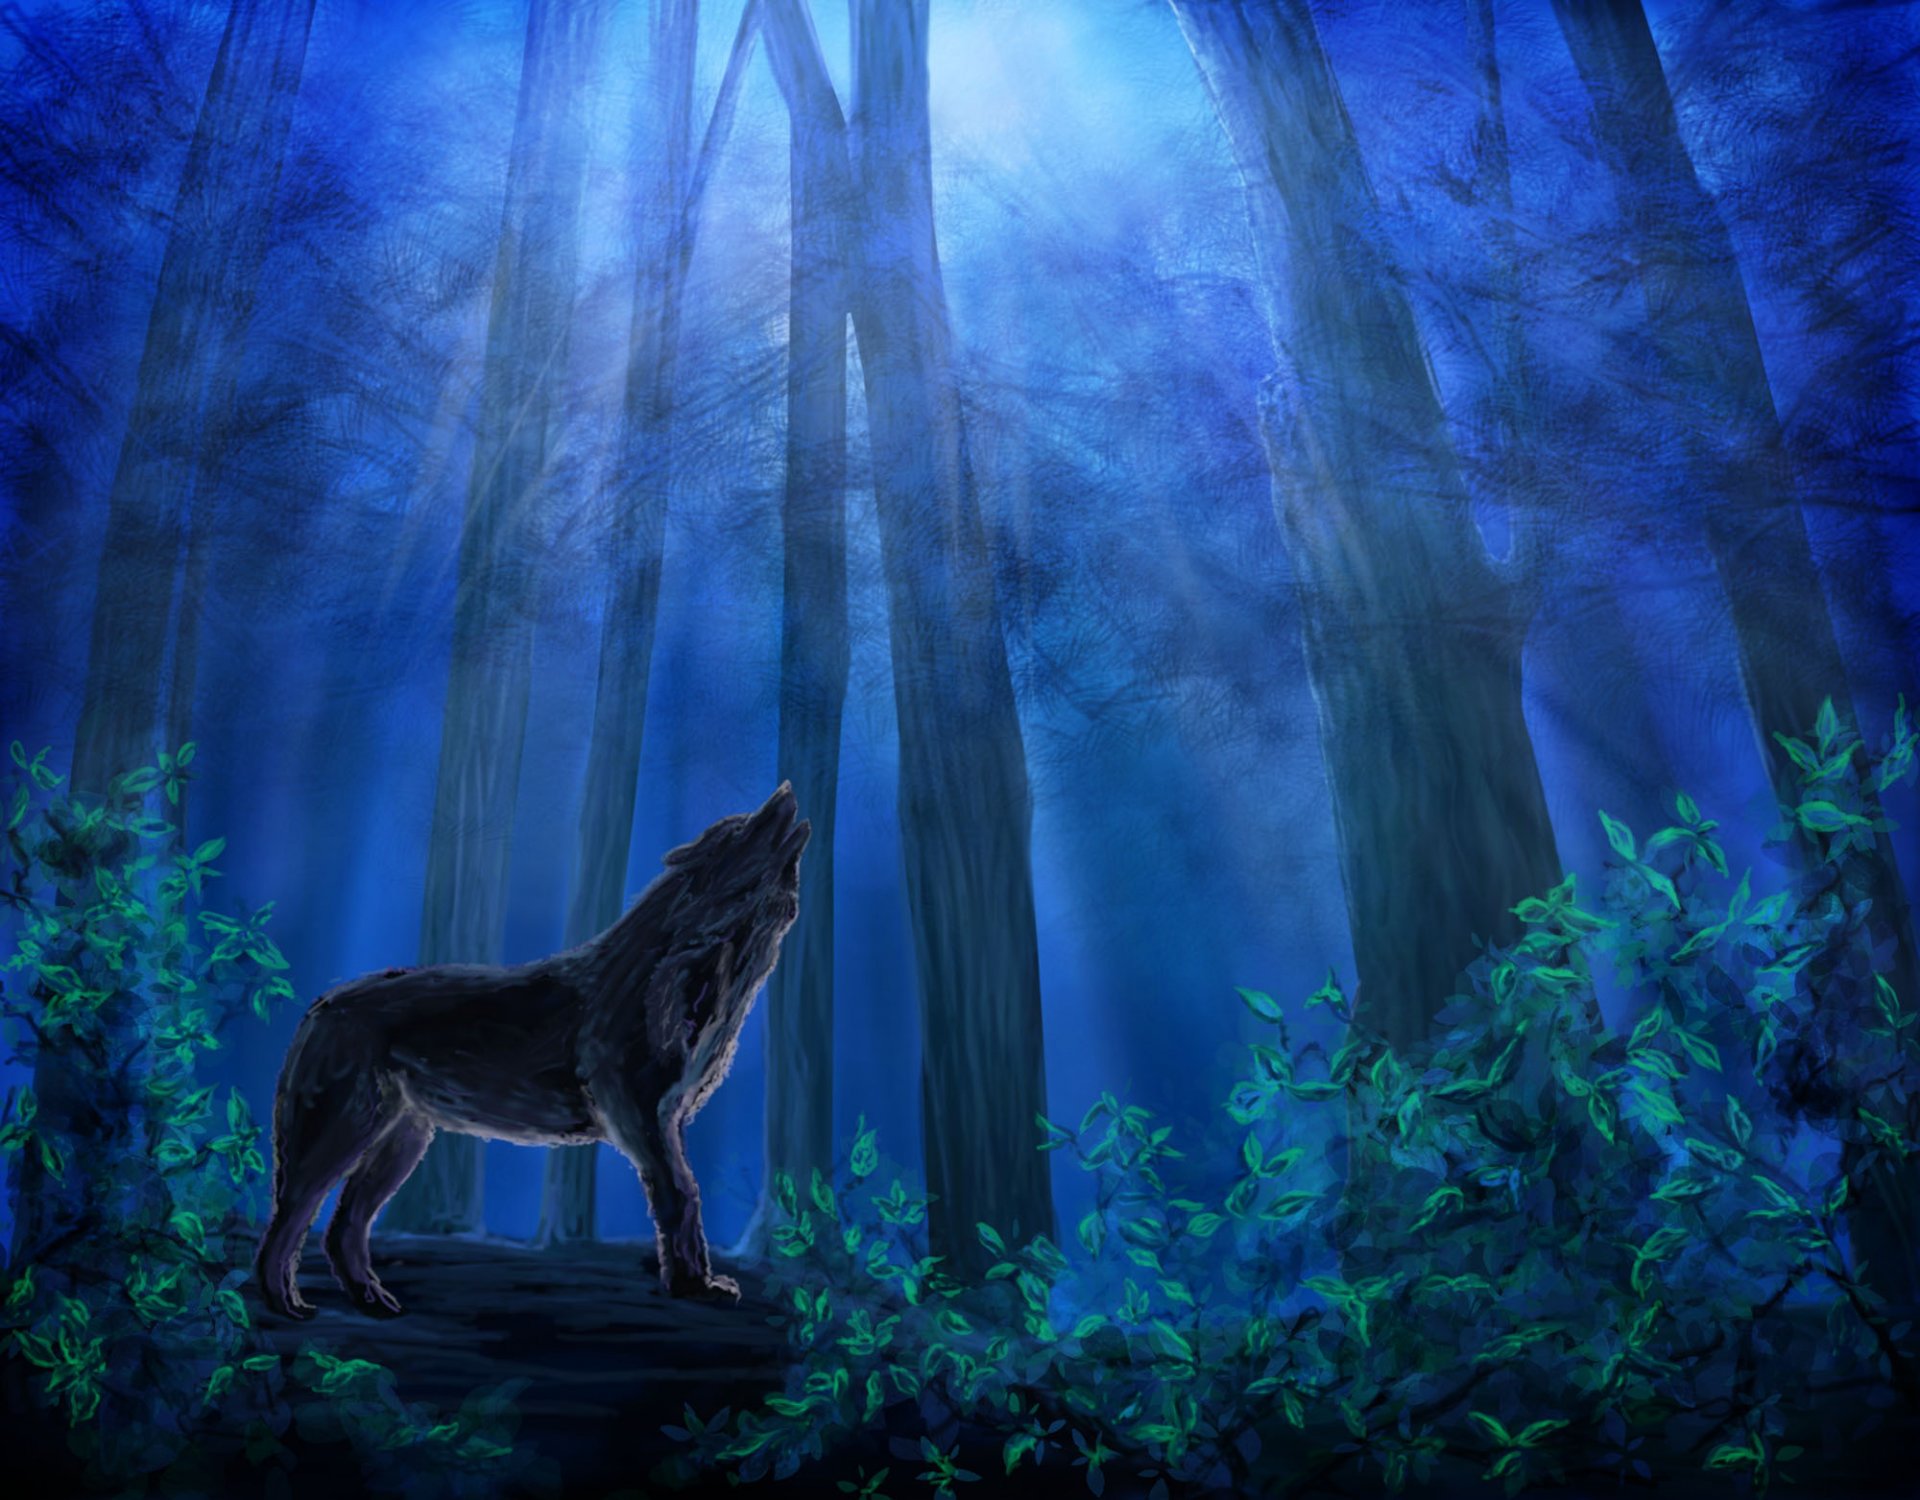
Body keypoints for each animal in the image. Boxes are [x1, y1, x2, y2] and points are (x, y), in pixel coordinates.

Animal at [254, 784, 808, 1318]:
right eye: (740, 829)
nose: (785, 789)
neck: (700, 964)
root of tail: (319, 1007)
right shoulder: (641, 1120)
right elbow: (681, 1196)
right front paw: (692, 1284)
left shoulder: (666, 1120)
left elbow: (686, 1195)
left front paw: (699, 1282)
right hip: (339, 1138)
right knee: (288, 1221)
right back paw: (286, 1305)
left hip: (402, 1144)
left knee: (341, 1227)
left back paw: (372, 1300)